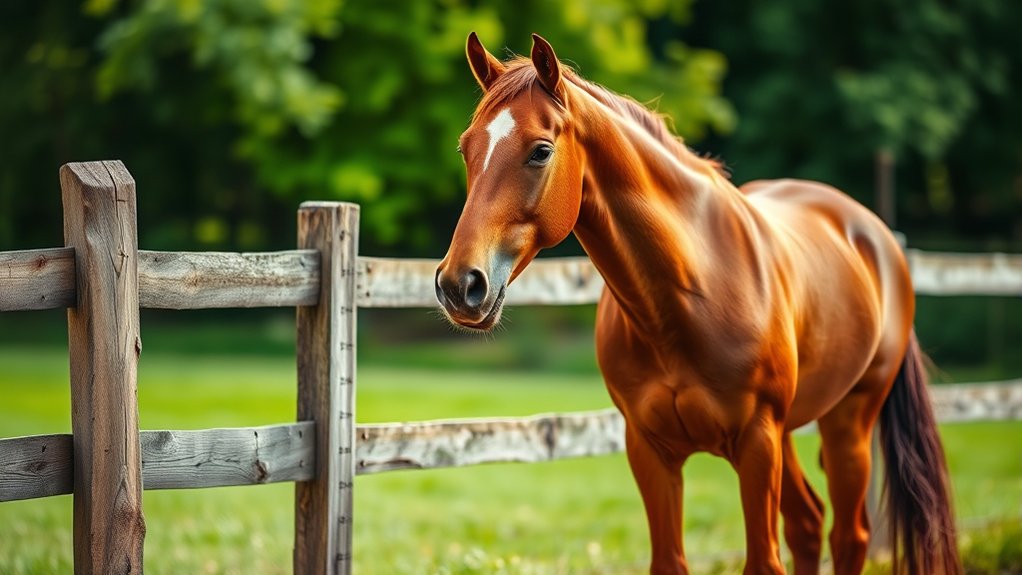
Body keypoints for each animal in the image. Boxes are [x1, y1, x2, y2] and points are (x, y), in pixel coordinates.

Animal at [434, 32, 961, 575]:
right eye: (466, 148)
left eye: (540, 151)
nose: (459, 284)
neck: (685, 299)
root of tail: (877, 235)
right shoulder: (650, 449)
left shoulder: (756, 443)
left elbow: (764, 560)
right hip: (790, 432)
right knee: (808, 524)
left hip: (848, 423)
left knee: (848, 535)